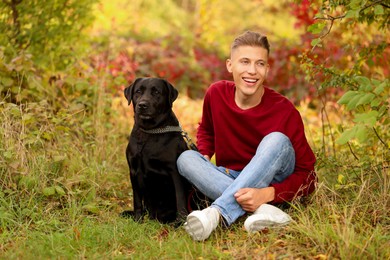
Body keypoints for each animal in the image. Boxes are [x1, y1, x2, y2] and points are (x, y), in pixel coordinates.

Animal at [122, 76, 193, 223]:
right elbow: (137, 199)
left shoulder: (174, 171)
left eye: (156, 92)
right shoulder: (133, 170)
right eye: (138, 91)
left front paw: (181, 222)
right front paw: (137, 220)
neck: (150, 132)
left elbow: (180, 198)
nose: (142, 105)